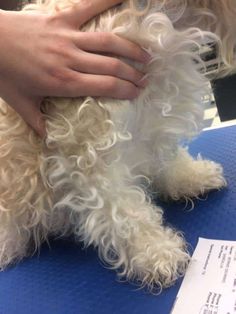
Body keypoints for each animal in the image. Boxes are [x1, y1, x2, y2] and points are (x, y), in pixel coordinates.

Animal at [0, 0, 236, 292]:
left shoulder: (153, 111)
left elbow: (164, 156)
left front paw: (189, 175)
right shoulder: (86, 143)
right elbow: (120, 207)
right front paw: (154, 251)